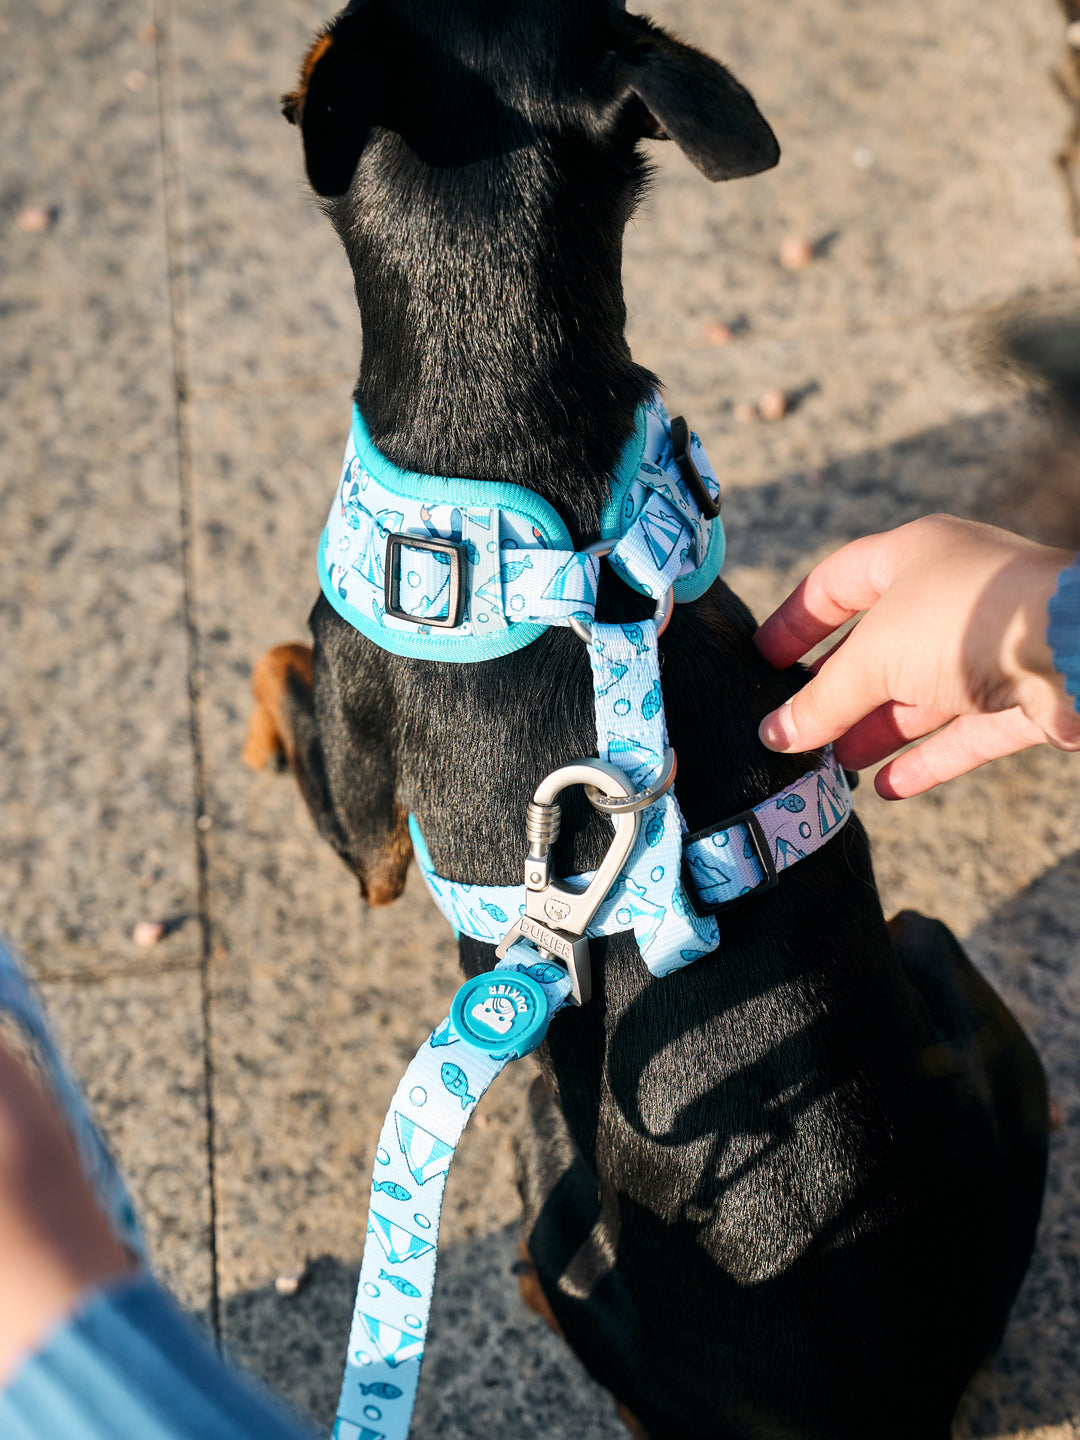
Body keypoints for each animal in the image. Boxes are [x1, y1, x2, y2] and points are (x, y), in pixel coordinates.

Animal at [249, 5, 1054, 1434]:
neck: (520, 447)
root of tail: (877, 1409)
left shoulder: (371, 831)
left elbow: (300, 695)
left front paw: (259, 681)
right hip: (946, 960)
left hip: (553, 1180)